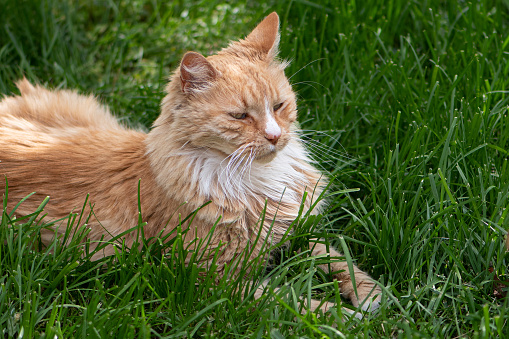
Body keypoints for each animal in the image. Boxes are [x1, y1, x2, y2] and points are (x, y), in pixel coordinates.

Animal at [0, 12, 380, 316]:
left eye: (279, 106)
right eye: (240, 116)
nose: (274, 136)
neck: (253, 178)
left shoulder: (292, 234)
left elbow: (334, 255)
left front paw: (369, 293)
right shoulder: (215, 280)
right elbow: (290, 300)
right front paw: (345, 315)